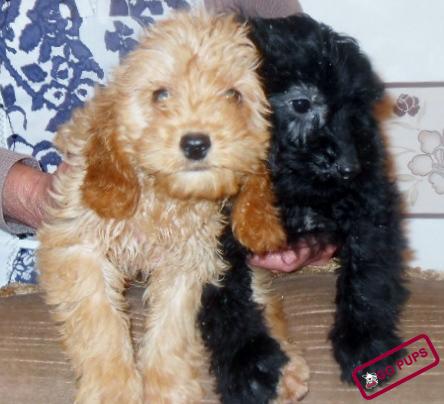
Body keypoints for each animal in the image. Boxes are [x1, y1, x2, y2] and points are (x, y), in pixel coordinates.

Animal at [37, 11, 309, 403]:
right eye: (160, 94)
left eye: (233, 95)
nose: (196, 143)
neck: (161, 198)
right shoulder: (77, 244)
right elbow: (98, 319)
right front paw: (112, 388)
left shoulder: (190, 260)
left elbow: (171, 332)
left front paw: (169, 390)